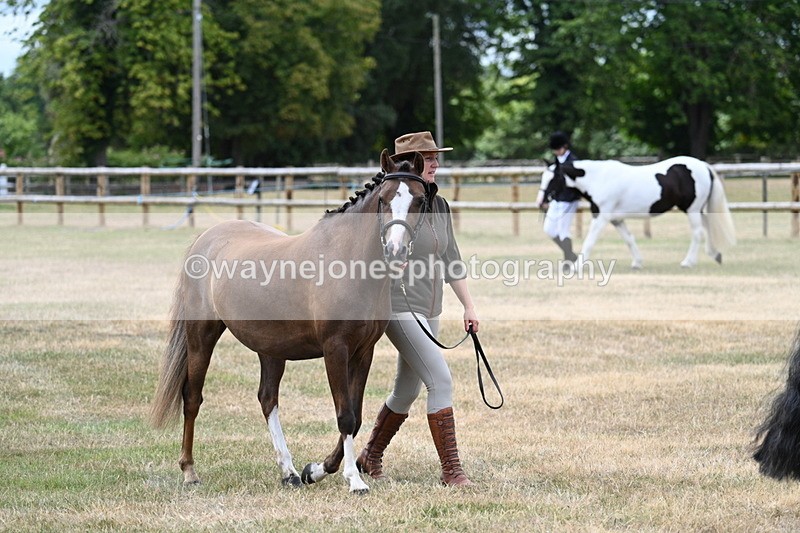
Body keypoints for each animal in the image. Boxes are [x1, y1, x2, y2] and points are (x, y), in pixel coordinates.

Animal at [150, 149, 429, 494]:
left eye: (419, 199)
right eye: (385, 198)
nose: (395, 249)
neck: (348, 262)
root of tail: (206, 237)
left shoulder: (364, 352)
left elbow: (357, 415)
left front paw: (317, 470)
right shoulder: (335, 349)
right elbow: (345, 415)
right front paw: (353, 480)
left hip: (270, 349)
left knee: (267, 399)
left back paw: (290, 472)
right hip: (201, 335)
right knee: (192, 397)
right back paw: (189, 470)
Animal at [537, 157, 737, 268]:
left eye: (554, 177)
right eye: (543, 177)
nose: (541, 201)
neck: (599, 179)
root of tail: (703, 166)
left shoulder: (601, 218)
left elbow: (589, 241)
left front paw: (577, 266)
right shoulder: (616, 220)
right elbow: (629, 239)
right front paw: (637, 263)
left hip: (692, 210)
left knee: (698, 233)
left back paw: (688, 262)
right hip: (697, 210)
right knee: (708, 227)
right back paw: (715, 255)